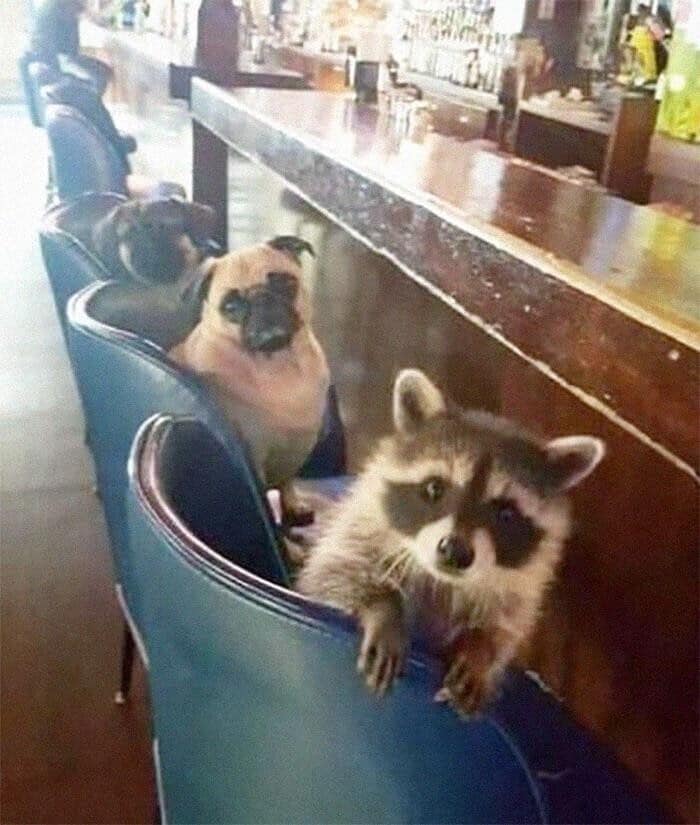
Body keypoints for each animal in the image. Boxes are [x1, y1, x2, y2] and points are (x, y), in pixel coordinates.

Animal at [297, 369, 605, 716]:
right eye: (434, 488)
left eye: (506, 513)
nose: (455, 551)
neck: (443, 581)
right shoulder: (357, 532)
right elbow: (332, 574)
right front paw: (382, 606)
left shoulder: (518, 587)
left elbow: (505, 628)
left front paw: (481, 649)